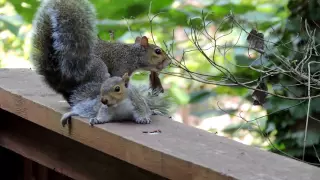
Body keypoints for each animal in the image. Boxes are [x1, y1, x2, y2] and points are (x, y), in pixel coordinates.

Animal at [30, 0, 170, 107]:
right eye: (158, 51)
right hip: (97, 69)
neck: (133, 54)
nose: (169, 61)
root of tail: (61, 78)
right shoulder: (121, 68)